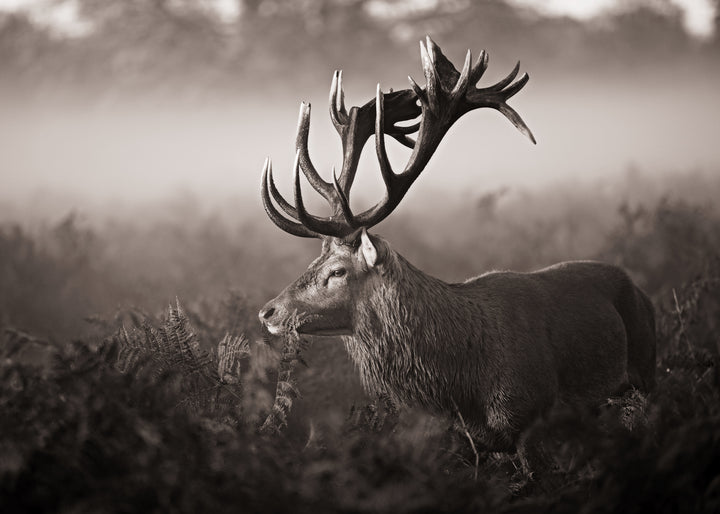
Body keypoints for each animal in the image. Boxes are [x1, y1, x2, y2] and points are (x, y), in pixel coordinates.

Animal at [257, 37, 656, 455]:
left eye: (337, 271)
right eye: (311, 262)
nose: (267, 312)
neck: (465, 385)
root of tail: (642, 292)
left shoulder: (530, 418)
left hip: (646, 371)